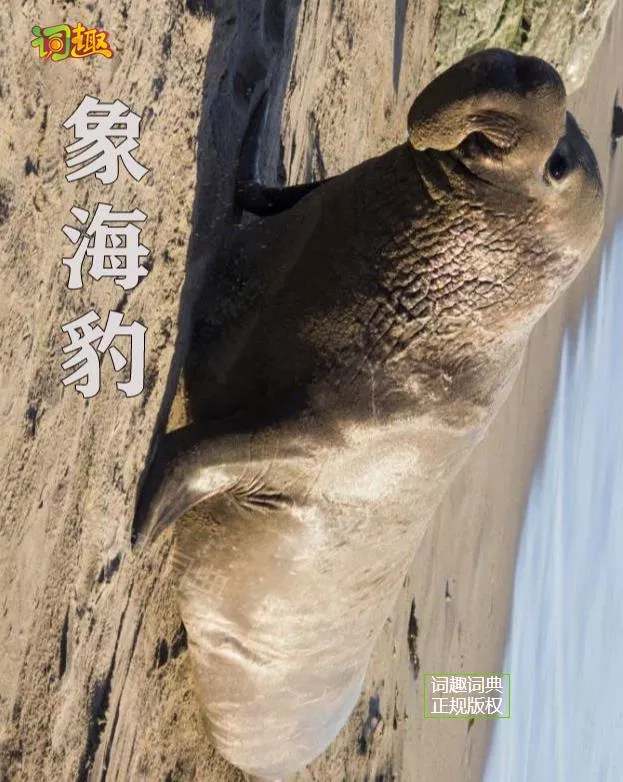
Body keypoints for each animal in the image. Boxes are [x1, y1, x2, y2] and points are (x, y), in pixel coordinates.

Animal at [135, 48, 604, 780]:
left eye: (556, 166)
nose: (522, 66)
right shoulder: (306, 215)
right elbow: (265, 193)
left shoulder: (331, 431)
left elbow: (204, 450)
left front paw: (140, 522)